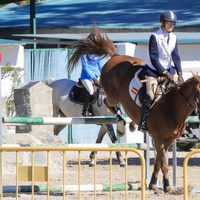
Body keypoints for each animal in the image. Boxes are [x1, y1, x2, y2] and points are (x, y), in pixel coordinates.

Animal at [67, 28, 200, 193]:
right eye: (199, 91)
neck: (171, 107)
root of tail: (116, 56)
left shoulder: (168, 140)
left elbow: (158, 161)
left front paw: (153, 183)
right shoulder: (158, 137)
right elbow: (163, 163)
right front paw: (167, 186)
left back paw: (130, 124)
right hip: (113, 95)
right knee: (107, 102)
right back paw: (122, 124)